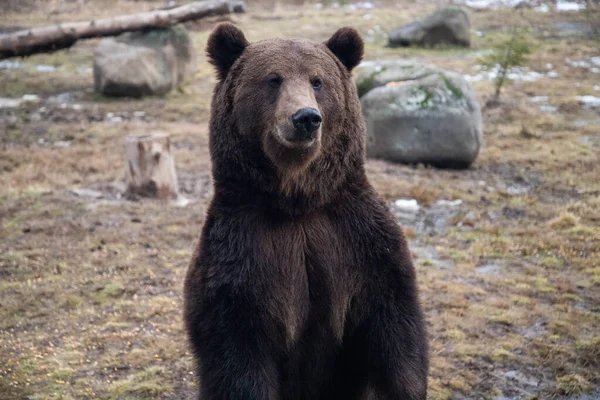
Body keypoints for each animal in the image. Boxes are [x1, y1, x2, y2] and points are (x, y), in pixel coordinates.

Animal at [183, 22, 426, 400]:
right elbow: (238, 357)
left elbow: (395, 335)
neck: (298, 203)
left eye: (317, 81)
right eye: (273, 79)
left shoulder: (360, 242)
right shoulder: (242, 256)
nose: (306, 118)